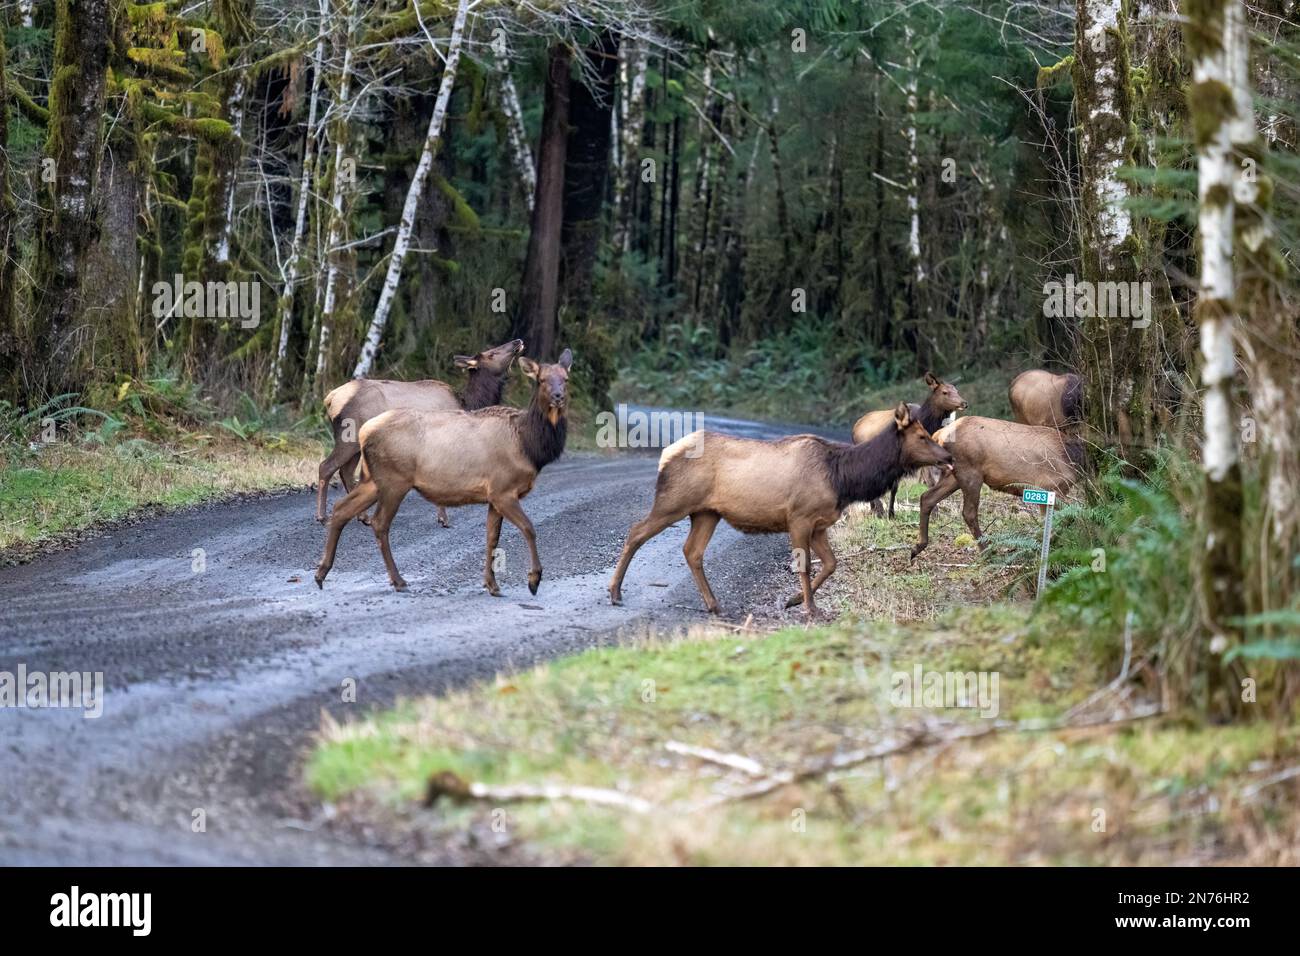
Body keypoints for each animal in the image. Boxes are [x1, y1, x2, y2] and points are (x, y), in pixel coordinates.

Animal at [314, 338, 522, 530]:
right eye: (491, 353)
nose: (517, 341)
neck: (467, 403)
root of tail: (330, 399)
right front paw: (443, 519)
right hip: (349, 436)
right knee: (326, 466)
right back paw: (323, 517)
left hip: (357, 442)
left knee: (346, 472)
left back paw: (362, 517)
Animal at [608, 405, 956, 621]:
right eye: (922, 436)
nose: (948, 455)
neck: (844, 479)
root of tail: (665, 454)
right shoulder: (799, 518)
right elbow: (805, 566)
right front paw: (809, 608)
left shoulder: (819, 524)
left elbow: (831, 563)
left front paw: (794, 600)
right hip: (673, 500)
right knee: (636, 531)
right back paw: (615, 592)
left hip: (706, 512)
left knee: (692, 551)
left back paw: (713, 604)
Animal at [852, 369, 967, 520]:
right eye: (944, 392)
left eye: (957, 390)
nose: (964, 403)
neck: (926, 423)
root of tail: (855, 427)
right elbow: (926, 481)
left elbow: (928, 482)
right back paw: (879, 510)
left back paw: (875, 510)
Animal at [904, 416, 1086, 561]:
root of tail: (939, 435)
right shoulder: (1050, 487)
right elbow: (1072, 514)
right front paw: (1042, 544)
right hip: (970, 473)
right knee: (968, 512)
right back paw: (987, 551)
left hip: (953, 475)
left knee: (927, 497)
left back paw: (917, 547)